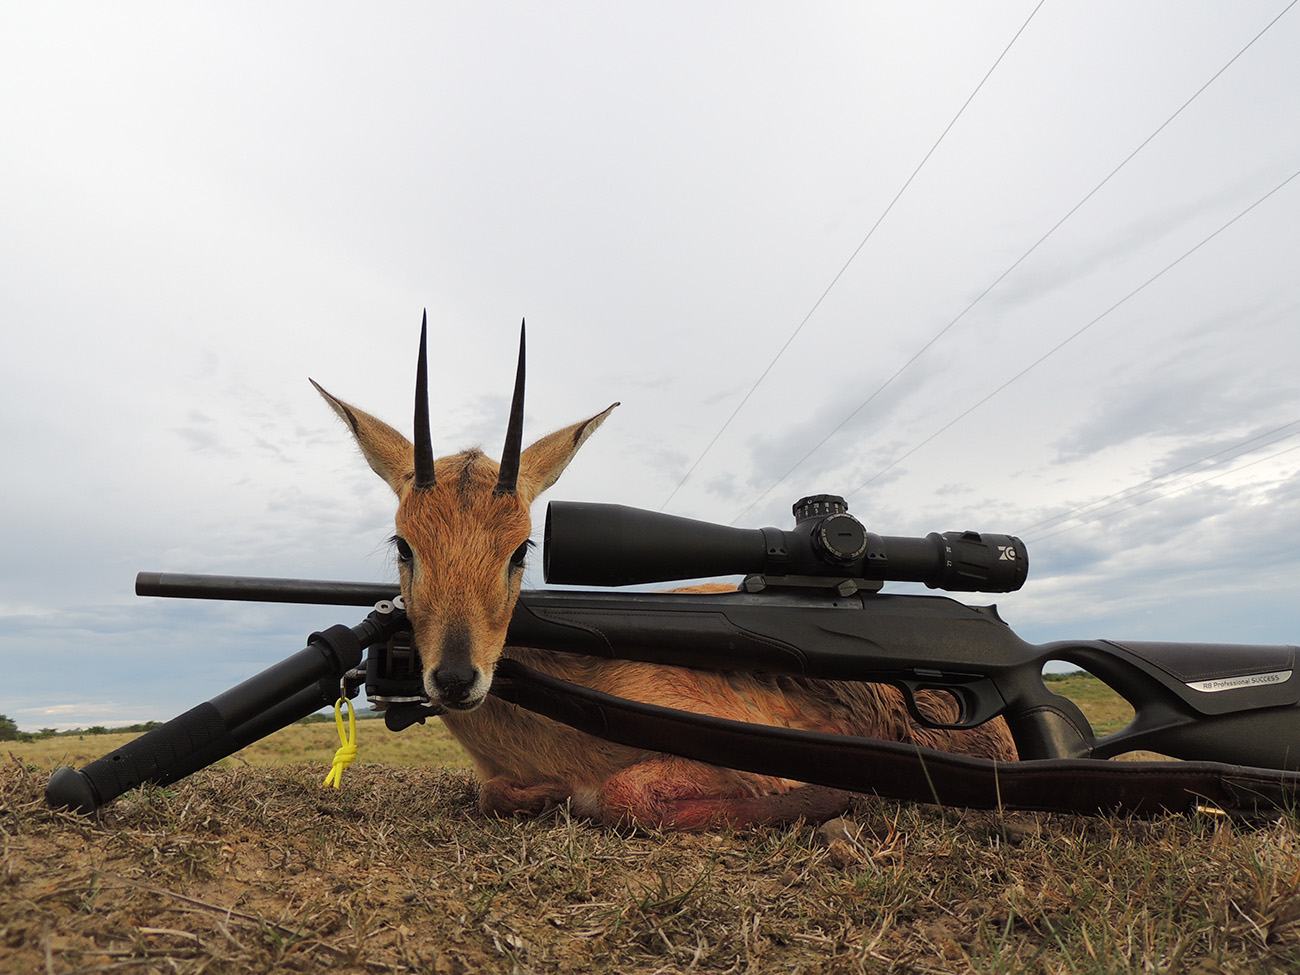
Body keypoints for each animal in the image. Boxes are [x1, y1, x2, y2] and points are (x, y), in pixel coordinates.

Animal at [312, 321, 1013, 832]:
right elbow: (496, 795)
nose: (457, 678)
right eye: (404, 543)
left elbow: (622, 796)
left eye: (521, 547)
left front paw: (842, 800)